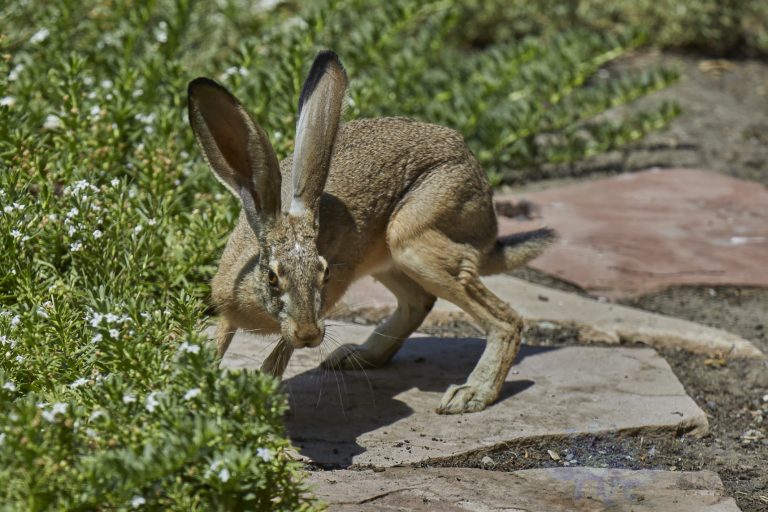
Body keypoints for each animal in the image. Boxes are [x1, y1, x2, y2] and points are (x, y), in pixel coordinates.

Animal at [188, 50, 555, 414]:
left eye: (325, 274)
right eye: (272, 277)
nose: (308, 335)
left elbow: (278, 357)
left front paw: (254, 400)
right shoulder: (229, 310)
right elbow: (220, 341)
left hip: (412, 240)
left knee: (506, 321)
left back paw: (470, 394)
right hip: (389, 257)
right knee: (418, 302)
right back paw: (355, 356)